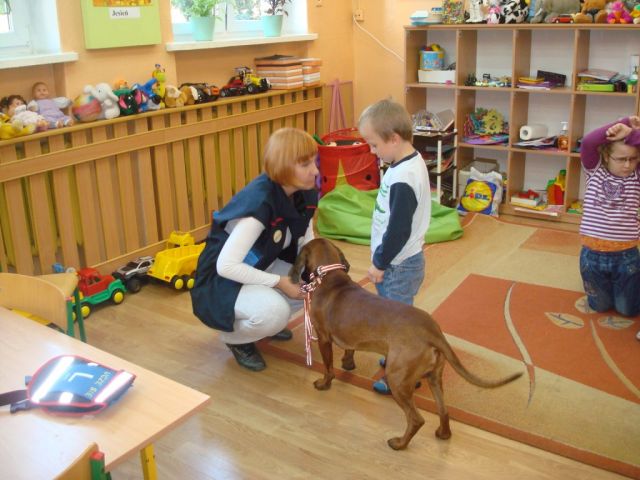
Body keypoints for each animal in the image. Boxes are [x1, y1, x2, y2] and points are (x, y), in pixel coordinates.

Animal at [290, 238, 523, 450]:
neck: (331, 279)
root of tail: (433, 332)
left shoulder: (323, 338)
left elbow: (328, 367)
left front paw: (324, 383)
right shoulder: (349, 336)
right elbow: (349, 350)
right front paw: (348, 364)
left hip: (397, 380)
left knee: (416, 419)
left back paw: (400, 443)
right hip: (434, 378)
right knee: (443, 410)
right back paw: (443, 434)